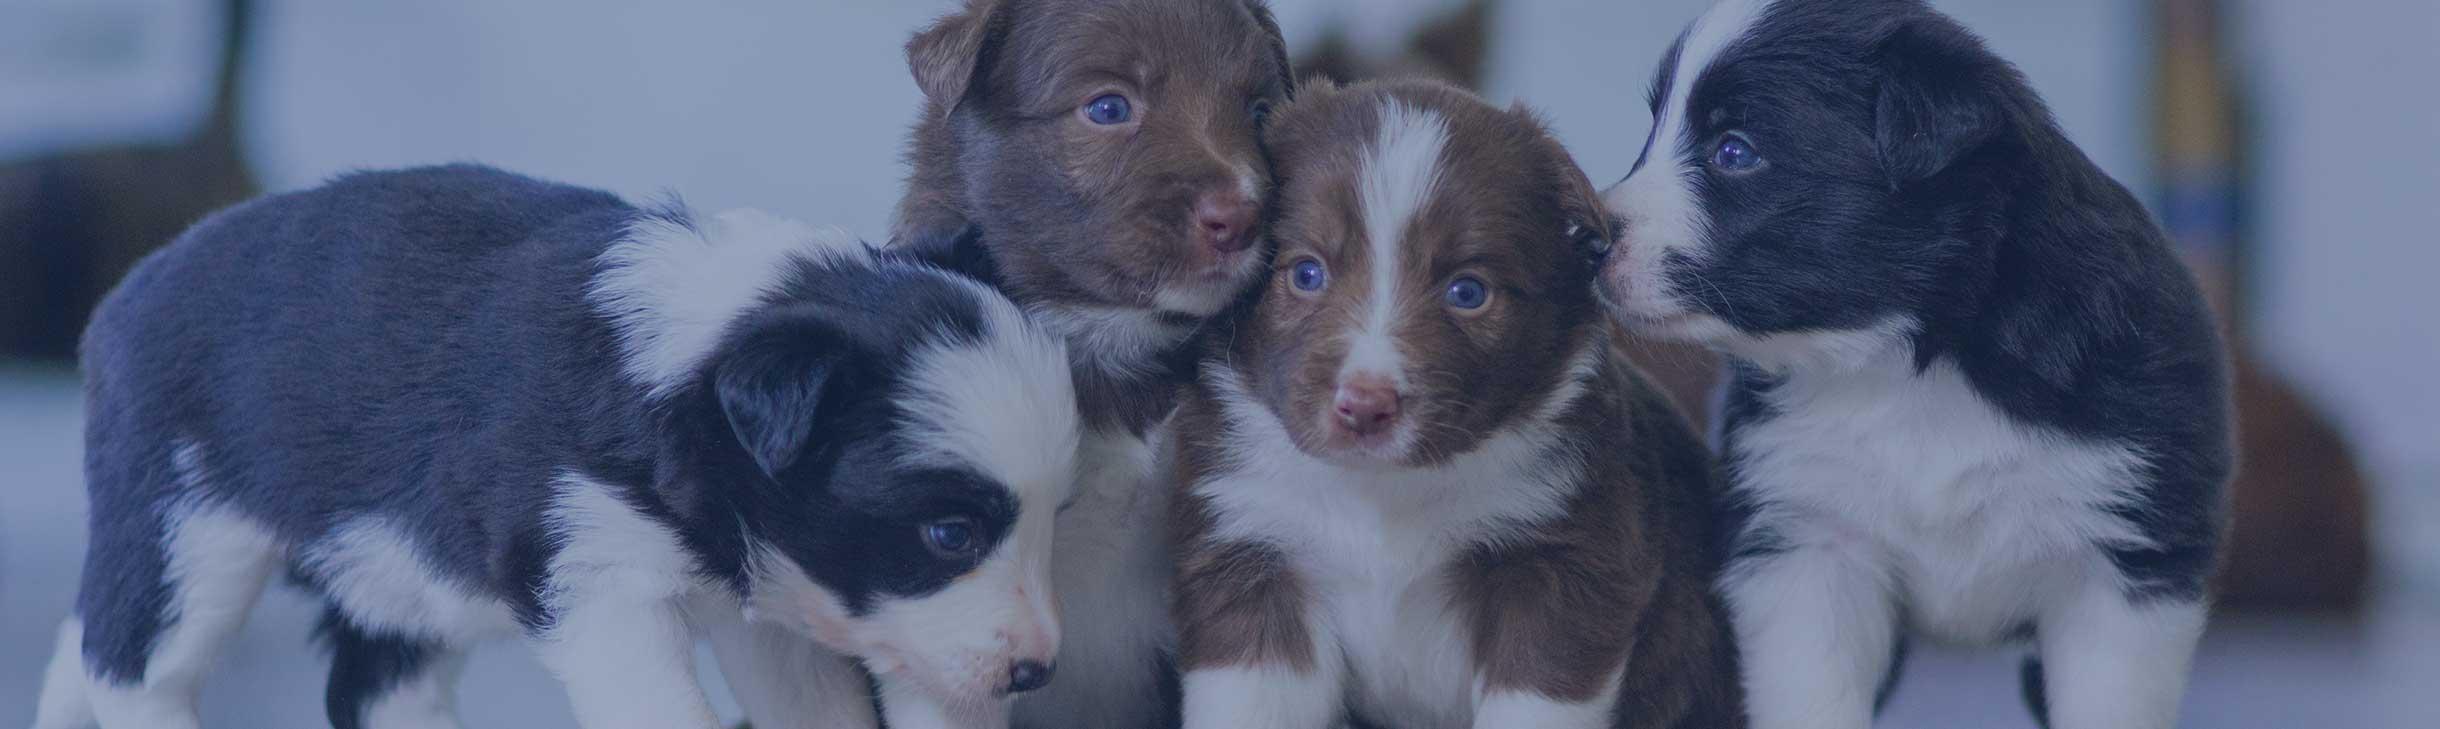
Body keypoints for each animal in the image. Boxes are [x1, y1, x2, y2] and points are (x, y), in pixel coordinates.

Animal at [28, 165, 1078, 729]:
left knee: (366, 685)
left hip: (393, 571)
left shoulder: (764, 608)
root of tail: (125, 294)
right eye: (950, 535)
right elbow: (667, 706)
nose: (1037, 673)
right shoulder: (596, 574)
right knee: (132, 663)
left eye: (1056, 521)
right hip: (186, 523)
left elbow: (813, 707)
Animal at [1171, 79, 1747, 729]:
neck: (1383, 492)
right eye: (1306, 273)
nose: (1365, 406)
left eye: (1467, 291)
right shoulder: (1250, 553)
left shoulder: (1562, 565)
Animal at [1600, 1, 2235, 729]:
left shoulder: (2124, 562)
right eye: (1653, 132)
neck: (1908, 364)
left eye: (1734, 151)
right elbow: (1810, 692)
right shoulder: (1805, 543)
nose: (1589, 236)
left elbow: (2108, 699)